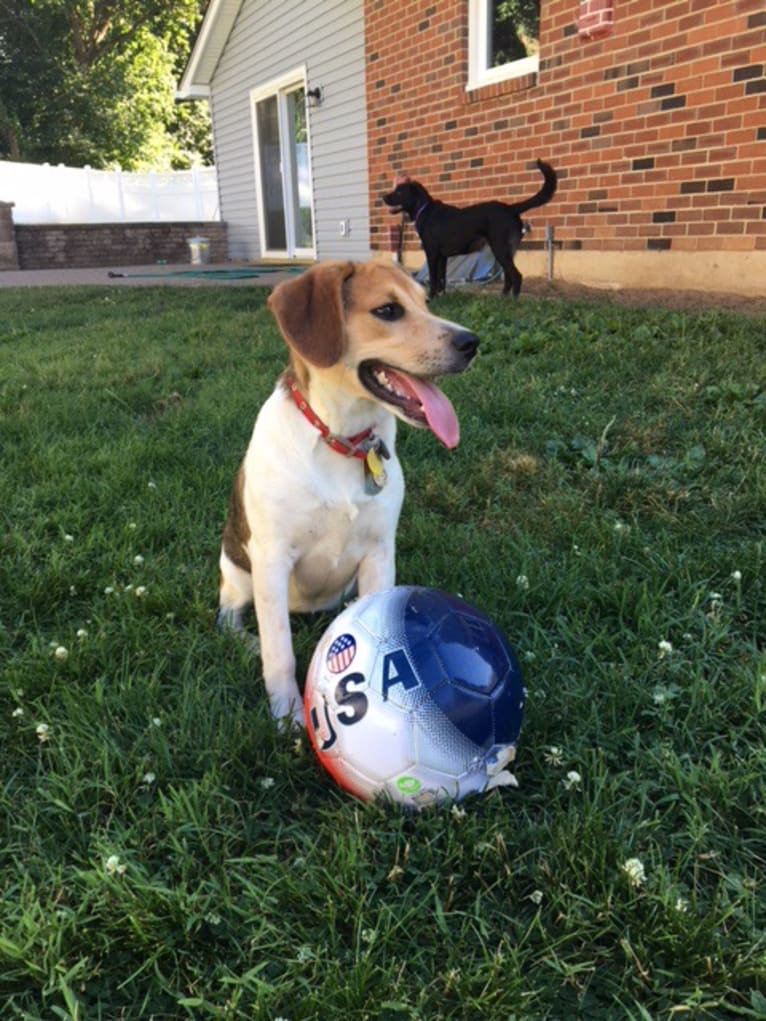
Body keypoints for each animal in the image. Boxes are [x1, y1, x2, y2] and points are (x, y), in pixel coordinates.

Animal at [217, 261, 480, 726]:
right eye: (388, 310)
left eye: (426, 302)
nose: (472, 343)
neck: (341, 438)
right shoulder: (272, 560)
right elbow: (279, 650)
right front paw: (288, 715)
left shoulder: (379, 553)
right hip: (237, 572)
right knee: (231, 612)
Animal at [384, 157, 559, 298]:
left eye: (399, 192)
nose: (383, 196)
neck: (424, 208)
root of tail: (511, 208)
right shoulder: (442, 257)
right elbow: (442, 279)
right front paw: (442, 297)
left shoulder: (432, 253)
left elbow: (433, 279)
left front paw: (431, 298)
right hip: (505, 251)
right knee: (509, 277)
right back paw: (503, 299)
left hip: (499, 248)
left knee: (516, 276)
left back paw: (513, 303)